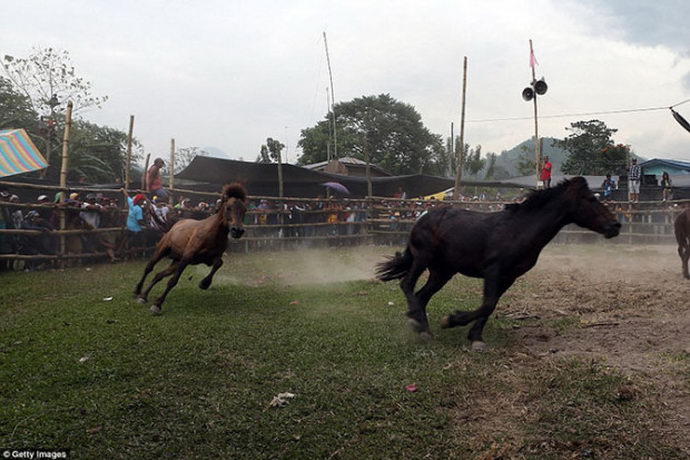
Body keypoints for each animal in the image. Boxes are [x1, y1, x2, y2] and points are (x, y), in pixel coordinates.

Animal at [132, 182, 247, 312]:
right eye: (228, 207)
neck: (213, 234)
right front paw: (157, 304)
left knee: (158, 275)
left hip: (176, 262)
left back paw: (144, 296)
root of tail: (175, 225)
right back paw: (138, 291)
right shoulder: (187, 258)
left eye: (245, 210)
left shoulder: (209, 258)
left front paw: (204, 283)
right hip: (161, 251)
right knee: (149, 268)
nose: (237, 231)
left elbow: (219, 263)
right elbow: (173, 281)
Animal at [376, 178, 620, 350]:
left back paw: (418, 324)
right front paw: (451, 320)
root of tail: (422, 218)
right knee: (407, 285)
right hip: (422, 258)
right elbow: (487, 304)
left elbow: (490, 305)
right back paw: (420, 326)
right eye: (591, 199)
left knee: (421, 296)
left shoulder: (509, 277)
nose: (616, 226)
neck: (519, 230)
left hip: (443, 271)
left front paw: (475, 337)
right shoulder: (493, 270)